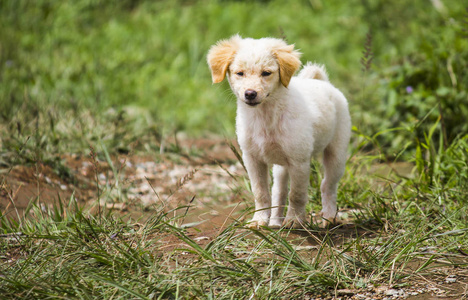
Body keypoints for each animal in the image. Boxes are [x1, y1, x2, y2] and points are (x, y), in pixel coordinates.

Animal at [207, 35, 350, 227]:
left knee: (328, 185)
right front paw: (259, 220)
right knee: (279, 191)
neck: (265, 116)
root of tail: (322, 82)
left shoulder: (299, 161)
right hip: (281, 167)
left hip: (336, 154)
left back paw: (329, 217)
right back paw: (275, 221)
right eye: (240, 73)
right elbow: (260, 192)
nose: (250, 94)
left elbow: (296, 194)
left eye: (266, 73)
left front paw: (294, 220)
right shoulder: (252, 159)